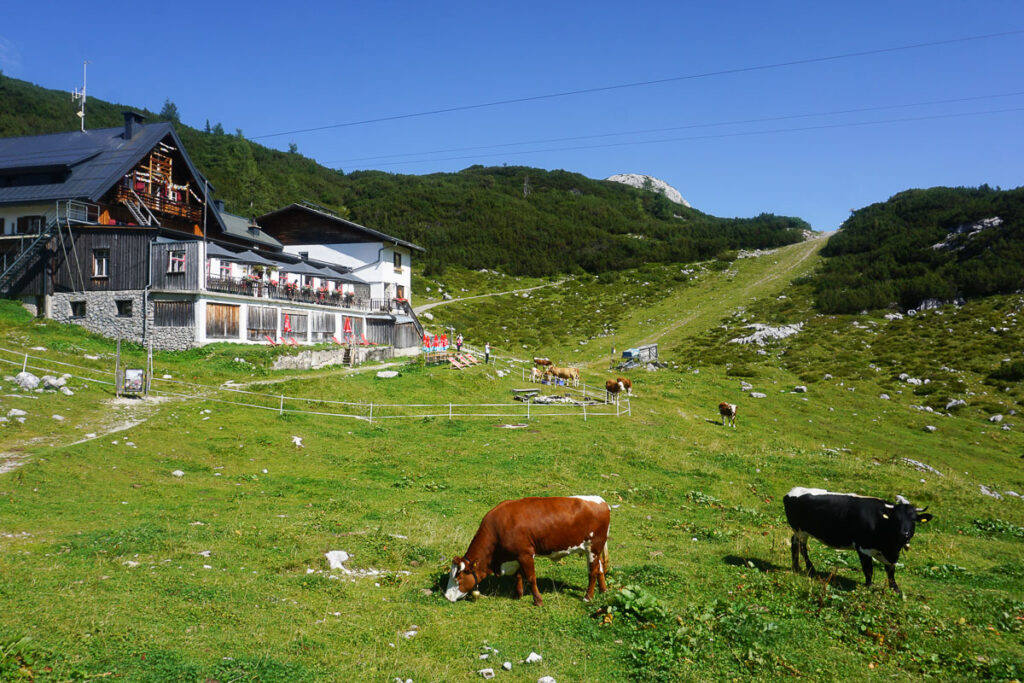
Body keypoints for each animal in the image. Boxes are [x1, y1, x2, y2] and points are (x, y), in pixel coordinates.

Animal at [446, 493, 606, 606]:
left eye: (458, 578)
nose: (446, 597)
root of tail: (601, 501)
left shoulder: (526, 554)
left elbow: (531, 578)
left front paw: (538, 601)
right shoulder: (516, 556)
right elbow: (518, 576)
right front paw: (518, 595)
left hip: (593, 548)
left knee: (592, 572)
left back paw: (587, 597)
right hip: (596, 549)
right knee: (600, 569)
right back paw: (603, 590)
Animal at [782, 485, 937, 593]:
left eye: (913, 519)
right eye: (895, 519)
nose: (904, 534)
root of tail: (793, 491)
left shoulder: (892, 555)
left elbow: (891, 571)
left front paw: (895, 589)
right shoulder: (863, 548)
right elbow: (868, 569)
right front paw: (868, 586)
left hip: (801, 531)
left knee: (794, 543)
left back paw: (796, 567)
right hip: (800, 530)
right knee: (802, 547)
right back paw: (810, 569)